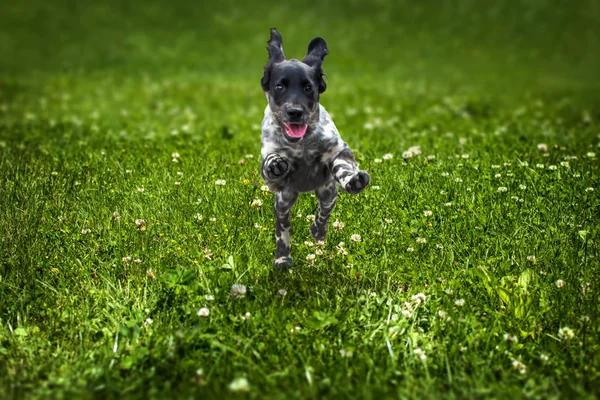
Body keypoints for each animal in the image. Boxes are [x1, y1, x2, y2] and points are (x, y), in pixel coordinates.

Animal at [258, 28, 370, 268]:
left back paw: (318, 231)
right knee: (283, 229)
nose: (295, 112)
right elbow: (271, 162)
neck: (301, 145)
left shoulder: (339, 150)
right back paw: (282, 258)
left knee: (323, 213)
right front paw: (277, 163)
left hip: (328, 192)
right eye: (279, 86)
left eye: (308, 87)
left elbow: (342, 167)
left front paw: (353, 180)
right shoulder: (271, 178)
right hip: (283, 201)